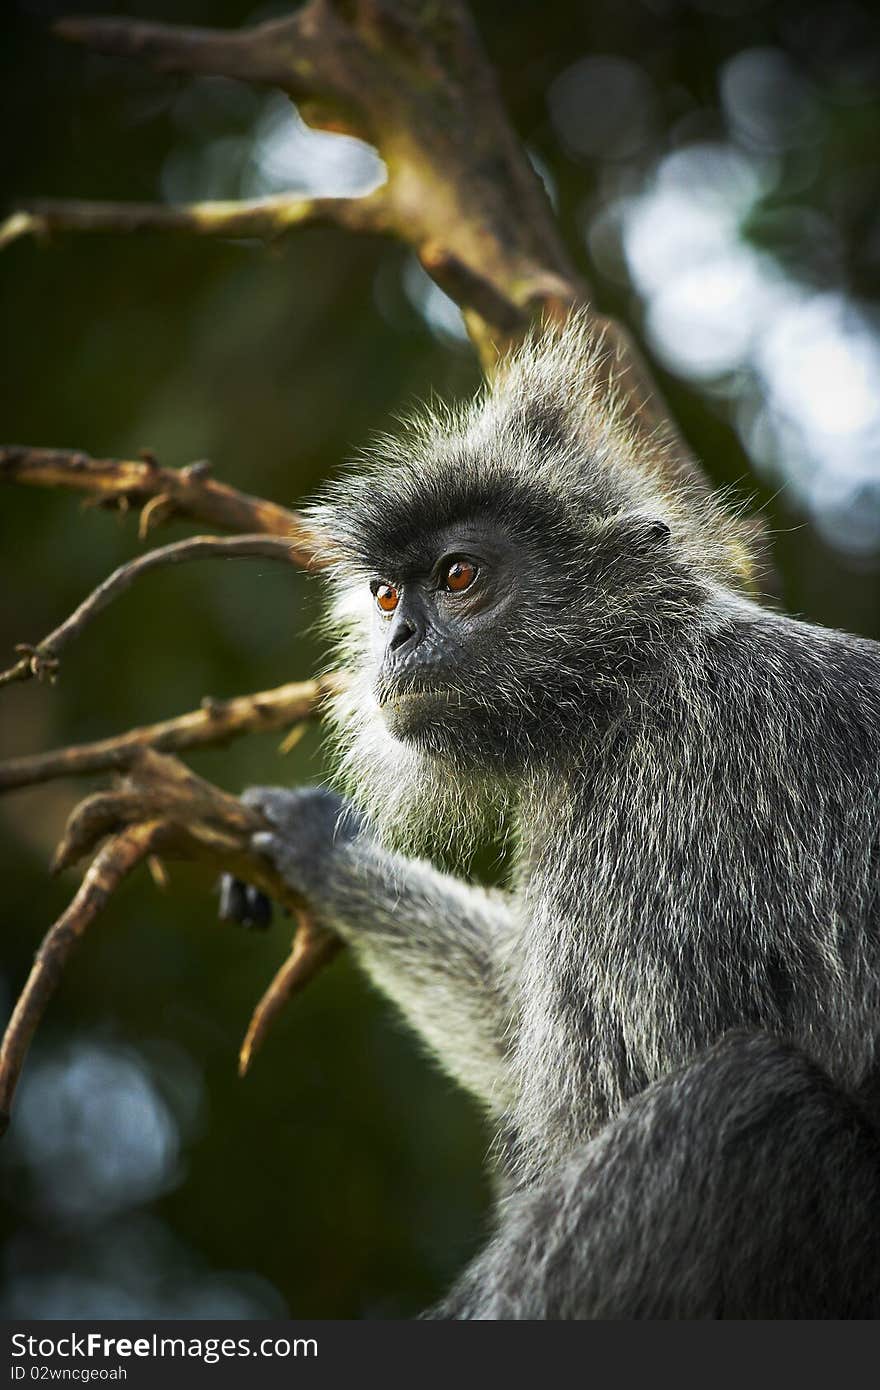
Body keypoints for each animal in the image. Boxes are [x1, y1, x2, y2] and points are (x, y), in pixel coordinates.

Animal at [221, 315, 880, 1312]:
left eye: (458, 576)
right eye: (388, 594)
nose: (397, 639)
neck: (630, 684)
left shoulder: (679, 812)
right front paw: (323, 851)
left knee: (744, 1090)